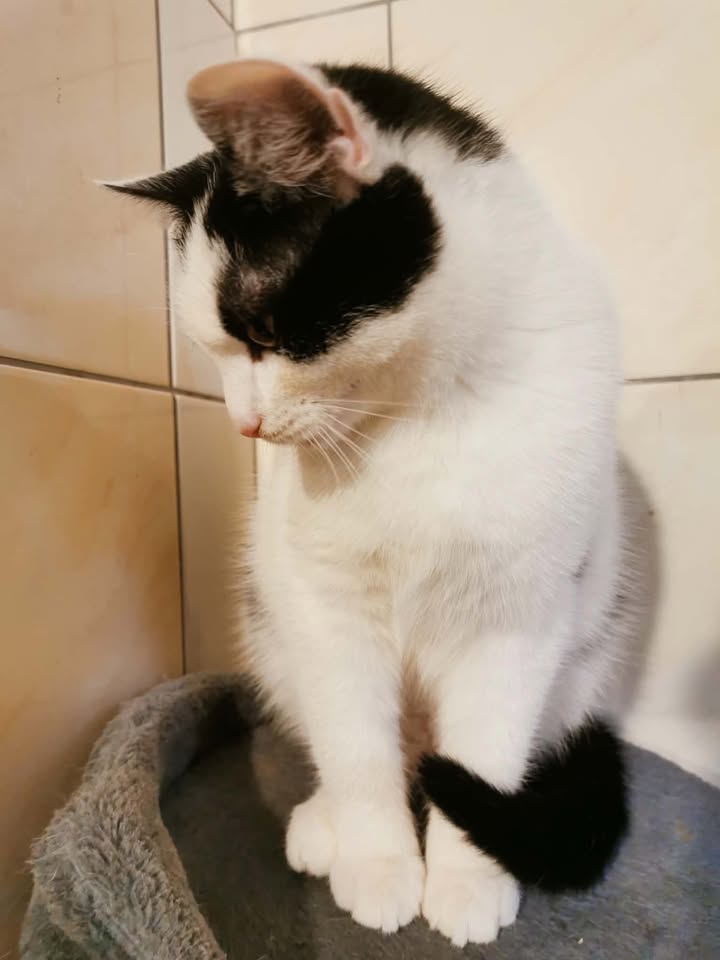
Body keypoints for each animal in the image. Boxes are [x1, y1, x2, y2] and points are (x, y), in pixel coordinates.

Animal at [108, 59, 639, 947]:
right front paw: (380, 863)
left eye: (262, 332)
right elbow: (357, 747)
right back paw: (326, 823)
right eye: (214, 352)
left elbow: (487, 744)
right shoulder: (326, 606)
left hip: (579, 668)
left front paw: (465, 880)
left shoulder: (517, 617)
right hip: (274, 626)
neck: (419, 414)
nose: (244, 422)